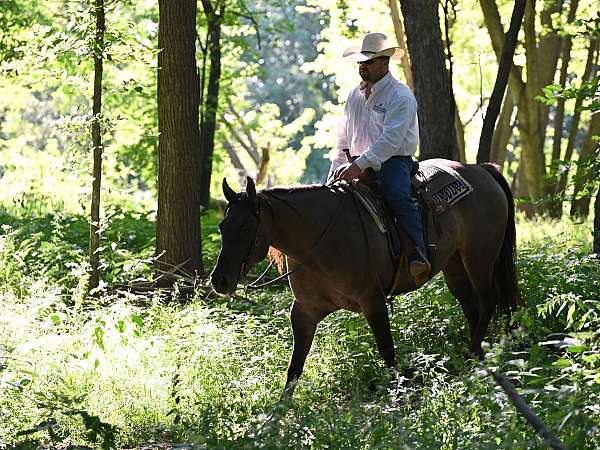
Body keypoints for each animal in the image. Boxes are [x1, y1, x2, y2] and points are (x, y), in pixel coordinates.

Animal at [211, 160, 520, 392]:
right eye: (223, 226)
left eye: (245, 227)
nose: (219, 280)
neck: (319, 239)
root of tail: (482, 169)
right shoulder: (305, 311)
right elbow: (294, 368)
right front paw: (275, 421)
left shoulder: (373, 301)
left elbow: (387, 351)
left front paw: (402, 394)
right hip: (454, 264)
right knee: (472, 306)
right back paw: (472, 356)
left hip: (479, 258)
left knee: (488, 301)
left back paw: (476, 357)